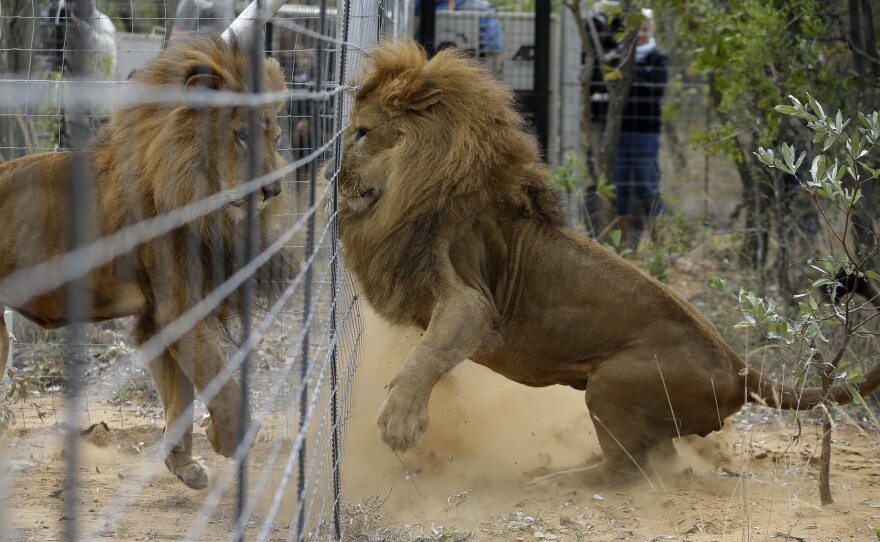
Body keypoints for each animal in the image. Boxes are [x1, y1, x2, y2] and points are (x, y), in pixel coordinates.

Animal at [0, 36, 298, 490]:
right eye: (242, 136)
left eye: (276, 136)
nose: (273, 191)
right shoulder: (177, 309)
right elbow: (220, 380)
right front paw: (230, 439)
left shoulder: (159, 316)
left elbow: (180, 395)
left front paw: (183, 464)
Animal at [336, 39, 880, 488]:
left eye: (362, 133)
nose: (334, 176)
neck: (414, 188)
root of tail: (737, 364)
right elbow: (430, 352)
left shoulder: (471, 299)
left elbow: (427, 353)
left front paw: (400, 421)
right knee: (655, 460)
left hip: (612, 385)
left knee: (627, 472)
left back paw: (552, 480)